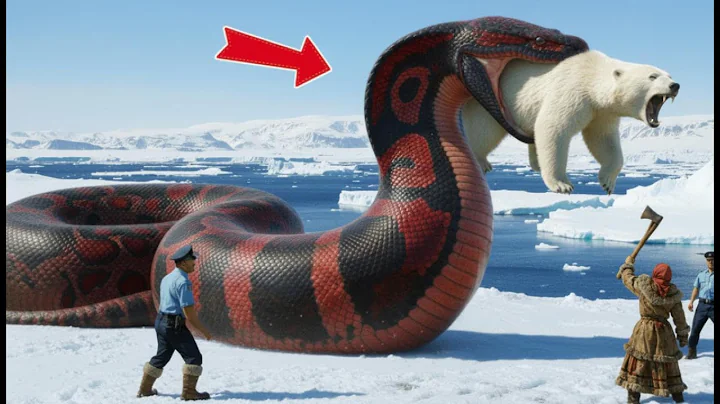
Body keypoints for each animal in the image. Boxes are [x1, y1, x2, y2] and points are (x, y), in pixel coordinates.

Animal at [461, 50, 680, 194]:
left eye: (669, 75)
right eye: (652, 76)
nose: (675, 85)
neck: (591, 75)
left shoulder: (601, 111)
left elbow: (603, 140)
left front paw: (607, 182)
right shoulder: (572, 92)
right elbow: (553, 128)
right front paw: (562, 184)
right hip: (494, 101)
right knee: (484, 131)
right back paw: (481, 161)